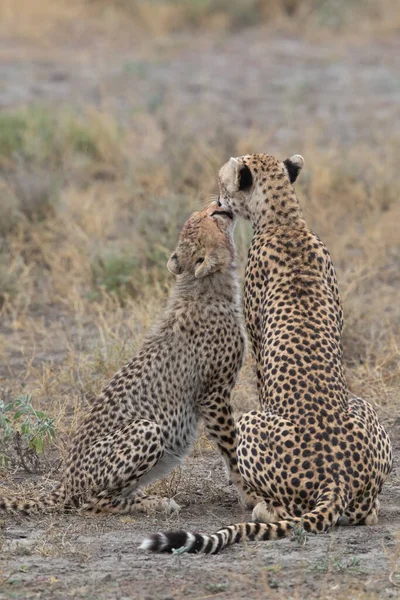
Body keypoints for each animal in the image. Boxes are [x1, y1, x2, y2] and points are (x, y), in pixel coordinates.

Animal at [0, 202, 250, 516]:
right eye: (211, 216)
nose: (219, 203)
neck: (205, 286)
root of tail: (65, 482)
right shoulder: (213, 393)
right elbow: (232, 447)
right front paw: (253, 496)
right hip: (146, 429)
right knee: (93, 504)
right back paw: (155, 502)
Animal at [142, 154, 392, 552]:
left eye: (222, 183)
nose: (217, 201)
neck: (285, 220)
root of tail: (337, 478)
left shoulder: (257, 343)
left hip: (249, 424)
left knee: (286, 509)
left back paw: (263, 508)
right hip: (363, 410)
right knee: (367, 513)